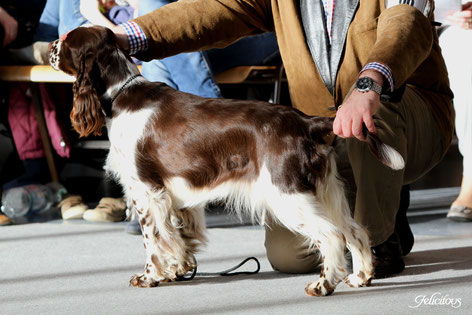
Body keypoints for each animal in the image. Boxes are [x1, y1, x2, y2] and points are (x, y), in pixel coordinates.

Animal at [49, 25, 404, 298]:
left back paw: (322, 285)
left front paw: (149, 277)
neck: (122, 95)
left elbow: (153, 240)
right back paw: (360, 277)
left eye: (66, 40)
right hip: (325, 189)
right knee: (355, 230)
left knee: (332, 236)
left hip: (287, 194)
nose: (49, 46)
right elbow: (178, 237)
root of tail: (306, 122)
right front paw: (179, 270)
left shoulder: (145, 191)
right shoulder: (174, 194)